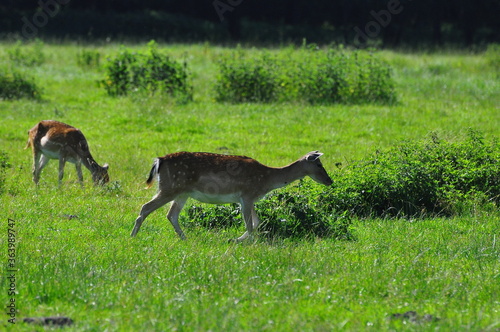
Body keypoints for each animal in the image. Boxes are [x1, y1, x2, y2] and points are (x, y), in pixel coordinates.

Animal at [131, 150, 332, 241]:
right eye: (319, 164)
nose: (330, 181)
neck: (267, 179)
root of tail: (159, 161)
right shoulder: (247, 195)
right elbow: (250, 224)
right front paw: (251, 242)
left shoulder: (249, 199)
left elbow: (257, 222)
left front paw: (237, 239)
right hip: (170, 188)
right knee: (146, 207)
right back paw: (133, 236)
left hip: (182, 193)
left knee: (171, 214)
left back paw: (185, 238)